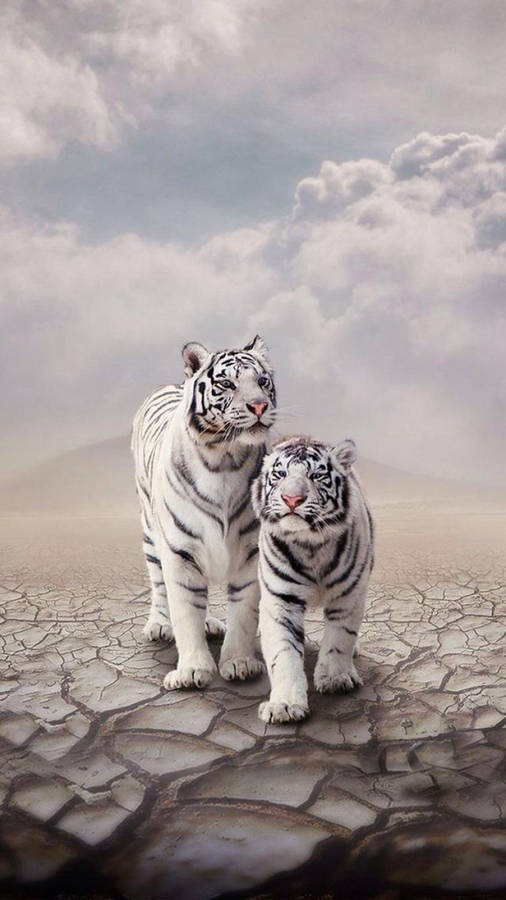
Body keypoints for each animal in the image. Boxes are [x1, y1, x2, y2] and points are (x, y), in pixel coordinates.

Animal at [131, 335, 277, 690]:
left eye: (262, 382)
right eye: (227, 384)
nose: (259, 406)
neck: (225, 457)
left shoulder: (250, 552)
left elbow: (243, 613)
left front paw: (239, 663)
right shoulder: (180, 553)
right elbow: (184, 611)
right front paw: (192, 670)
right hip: (150, 532)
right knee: (159, 583)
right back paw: (159, 625)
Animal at [251, 435, 374, 723]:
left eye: (317, 475)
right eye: (280, 474)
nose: (291, 499)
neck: (310, 545)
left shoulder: (348, 596)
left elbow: (340, 638)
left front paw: (336, 678)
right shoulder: (281, 601)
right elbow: (283, 653)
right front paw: (284, 706)